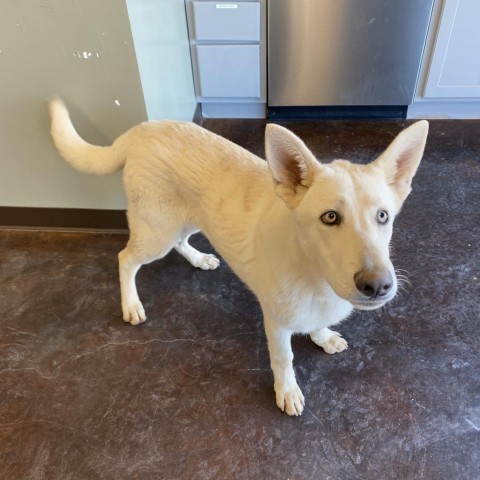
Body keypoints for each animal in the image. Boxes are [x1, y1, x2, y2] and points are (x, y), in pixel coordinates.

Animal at [50, 98, 430, 416]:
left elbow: (316, 325)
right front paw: (287, 392)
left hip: (189, 219)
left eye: (383, 216)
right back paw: (130, 303)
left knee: (180, 243)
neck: (313, 273)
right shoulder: (276, 323)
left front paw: (322, 336)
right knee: (125, 258)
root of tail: (143, 128)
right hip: (156, 231)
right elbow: (284, 359)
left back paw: (199, 259)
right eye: (330, 217)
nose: (378, 286)